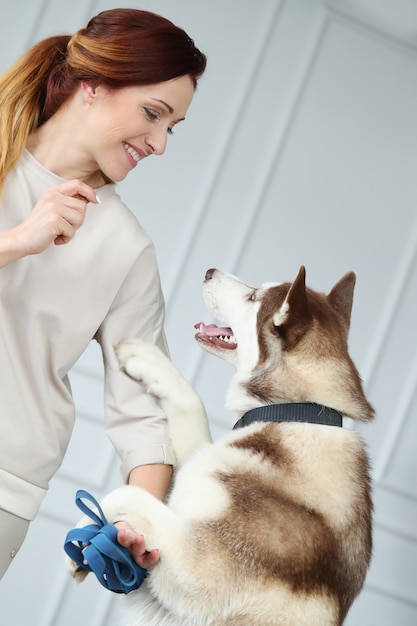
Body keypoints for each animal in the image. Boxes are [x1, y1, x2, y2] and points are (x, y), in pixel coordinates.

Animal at [67, 266, 374, 624]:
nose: (209, 271)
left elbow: (130, 494)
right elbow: (191, 403)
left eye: (253, 297)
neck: (295, 410)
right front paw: (147, 359)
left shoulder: (199, 570)